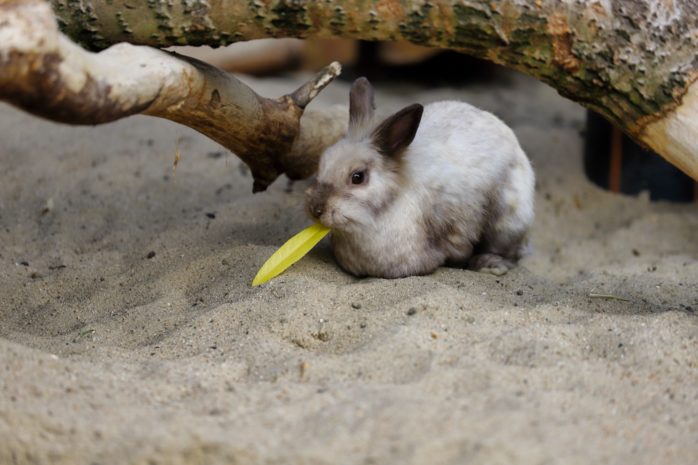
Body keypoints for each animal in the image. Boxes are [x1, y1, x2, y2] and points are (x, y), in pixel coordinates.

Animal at [305, 77, 534, 279]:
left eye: (358, 177)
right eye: (322, 163)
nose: (316, 209)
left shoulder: (457, 223)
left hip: (508, 220)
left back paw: (489, 264)